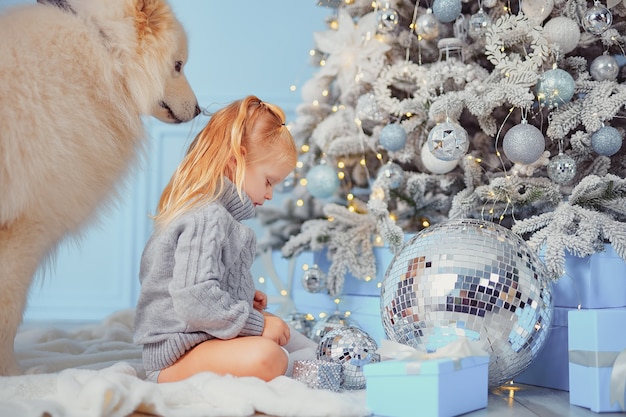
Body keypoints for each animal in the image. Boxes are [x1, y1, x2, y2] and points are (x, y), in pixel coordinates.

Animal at [0, 0, 200, 374]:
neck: (106, 49)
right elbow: (9, 310)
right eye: (178, 65)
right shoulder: (26, 226)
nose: (198, 109)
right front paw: (13, 374)